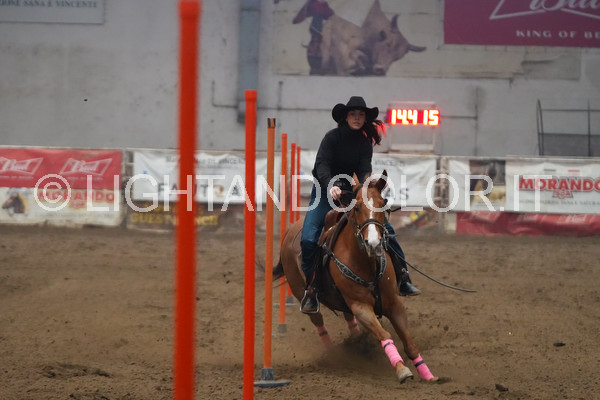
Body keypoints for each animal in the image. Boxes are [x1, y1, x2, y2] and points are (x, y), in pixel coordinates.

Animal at [273, 170, 438, 384]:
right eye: (357, 206)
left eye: (383, 202)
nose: (373, 243)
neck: (366, 264)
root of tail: (289, 232)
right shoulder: (361, 307)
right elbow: (384, 333)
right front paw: (402, 370)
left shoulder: (394, 303)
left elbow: (408, 341)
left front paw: (427, 373)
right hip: (303, 294)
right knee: (318, 321)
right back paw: (333, 354)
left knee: (347, 317)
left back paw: (357, 340)